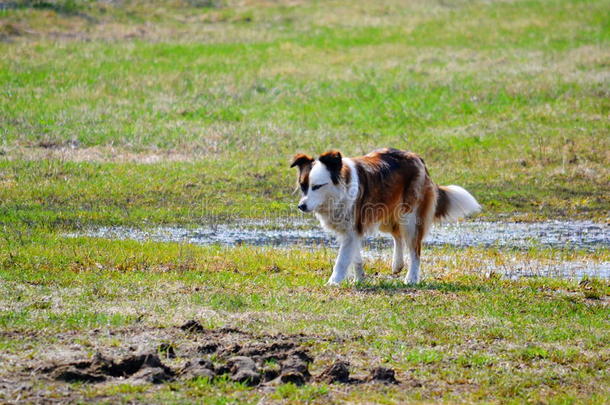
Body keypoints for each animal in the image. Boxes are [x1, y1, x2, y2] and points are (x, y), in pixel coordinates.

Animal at [290, 148, 480, 284]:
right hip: (386, 214)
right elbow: (355, 257)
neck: (339, 192)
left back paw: (411, 278)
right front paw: (359, 279)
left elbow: (342, 260)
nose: (301, 206)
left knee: (415, 248)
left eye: (317, 186)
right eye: (303, 186)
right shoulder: (352, 230)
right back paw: (397, 265)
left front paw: (333, 282)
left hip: (409, 218)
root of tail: (417, 158)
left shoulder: (352, 229)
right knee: (398, 236)